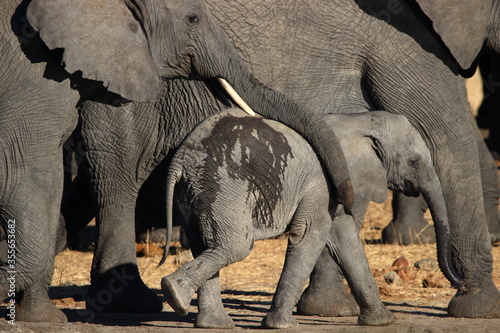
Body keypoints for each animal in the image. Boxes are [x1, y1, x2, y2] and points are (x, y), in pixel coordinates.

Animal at [160, 107, 394, 326]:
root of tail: (180, 160)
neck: (352, 121)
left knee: (204, 245)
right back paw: (175, 293)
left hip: (193, 192)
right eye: (406, 159)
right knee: (236, 246)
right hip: (224, 186)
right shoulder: (321, 183)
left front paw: (382, 321)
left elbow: (346, 240)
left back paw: (210, 321)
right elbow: (309, 234)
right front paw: (282, 325)